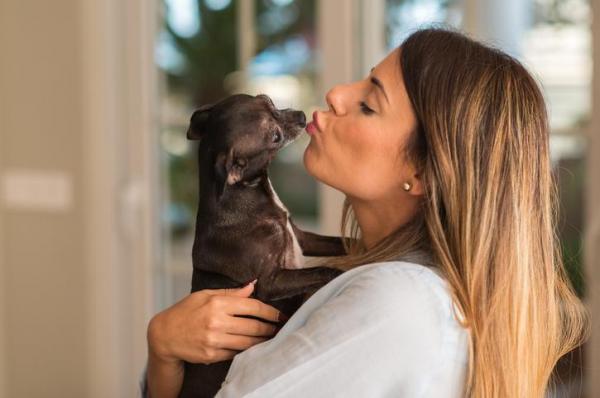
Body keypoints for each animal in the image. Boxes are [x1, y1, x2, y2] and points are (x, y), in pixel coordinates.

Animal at [178, 94, 346, 398]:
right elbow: (323, 271)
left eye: (267, 100)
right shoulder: (270, 281)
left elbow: (342, 242)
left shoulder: (301, 238)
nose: (302, 116)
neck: (248, 194)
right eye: (274, 137)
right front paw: (339, 275)